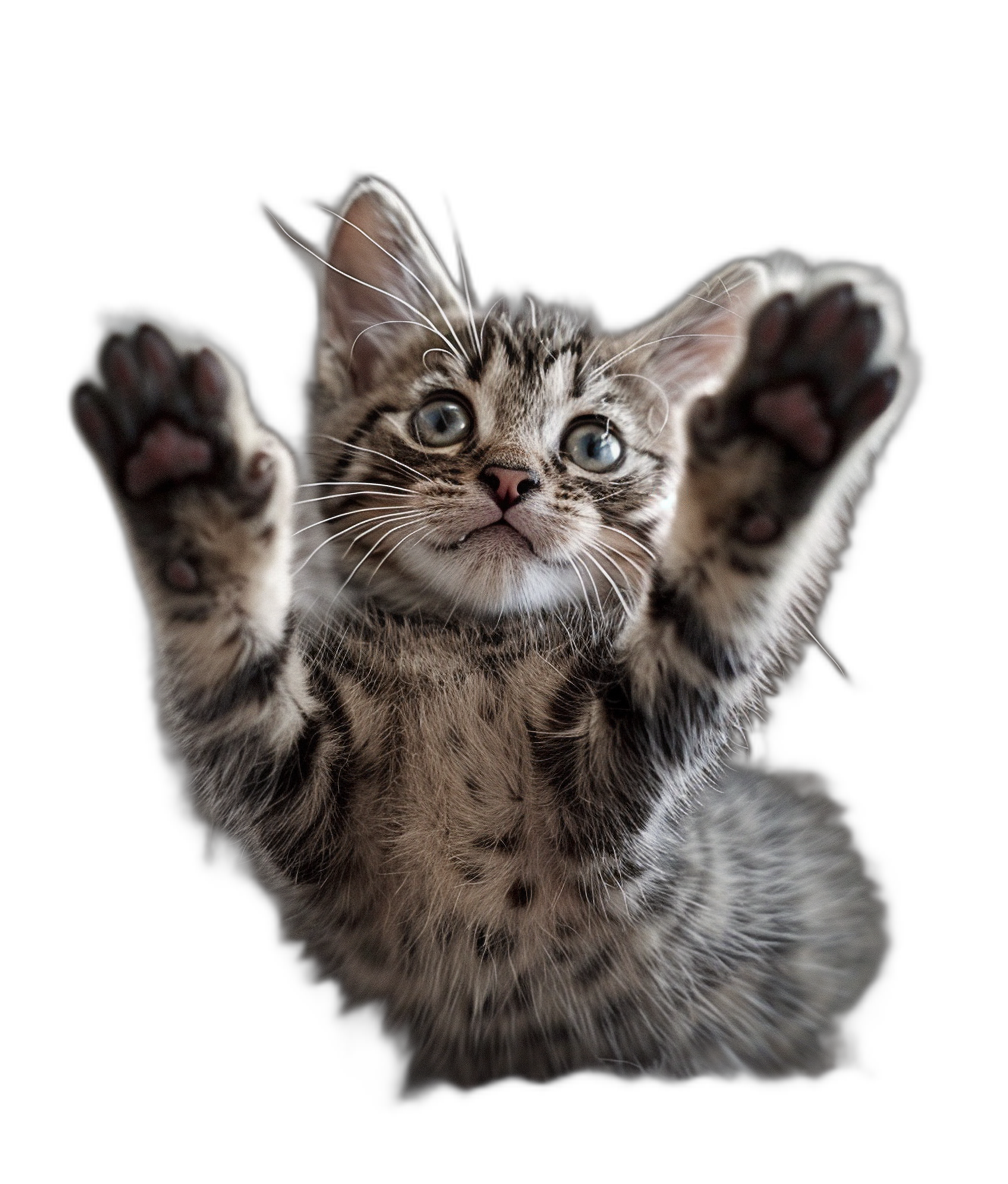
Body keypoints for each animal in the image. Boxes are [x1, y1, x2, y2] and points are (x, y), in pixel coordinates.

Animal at [71, 177, 919, 1089]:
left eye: (595, 444)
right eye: (443, 419)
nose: (510, 479)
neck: (471, 643)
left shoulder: (629, 770)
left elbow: (708, 610)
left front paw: (786, 417)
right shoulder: (299, 793)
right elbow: (225, 672)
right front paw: (182, 471)